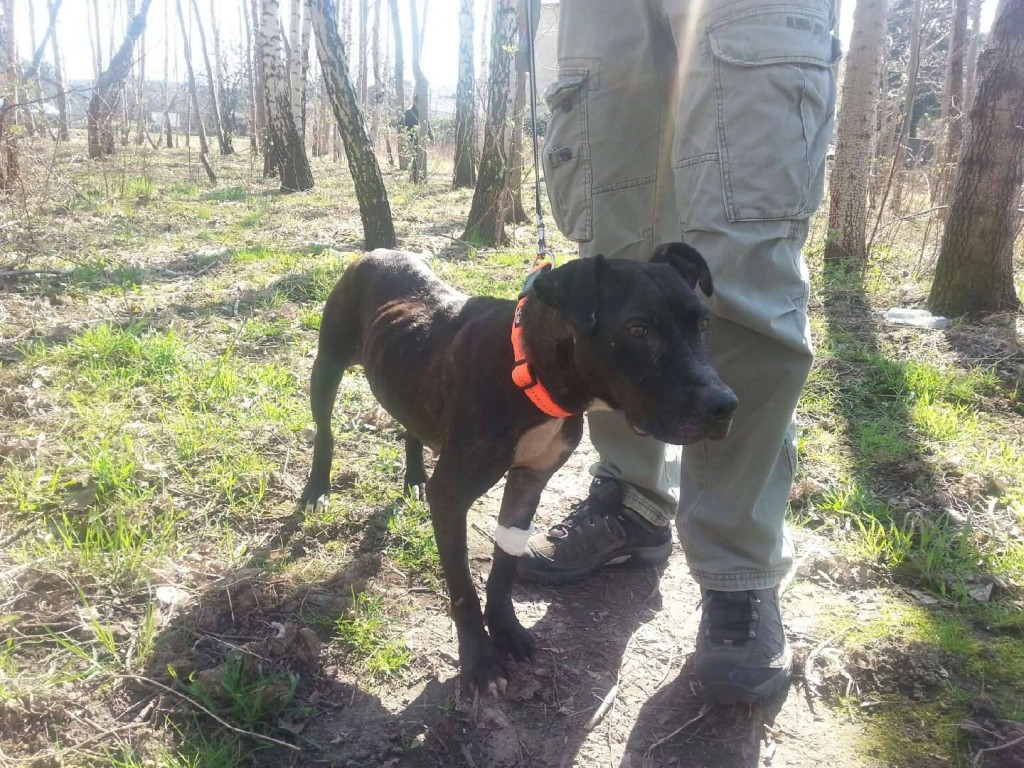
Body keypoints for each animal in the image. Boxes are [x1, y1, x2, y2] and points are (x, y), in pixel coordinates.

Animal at [299, 243, 738, 695]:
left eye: (703, 324)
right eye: (638, 330)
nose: (725, 406)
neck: (531, 373)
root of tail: (379, 250)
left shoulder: (529, 483)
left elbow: (504, 565)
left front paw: (506, 629)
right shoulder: (451, 497)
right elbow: (463, 588)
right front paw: (479, 661)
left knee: (410, 426)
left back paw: (415, 478)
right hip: (327, 365)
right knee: (325, 431)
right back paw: (317, 489)